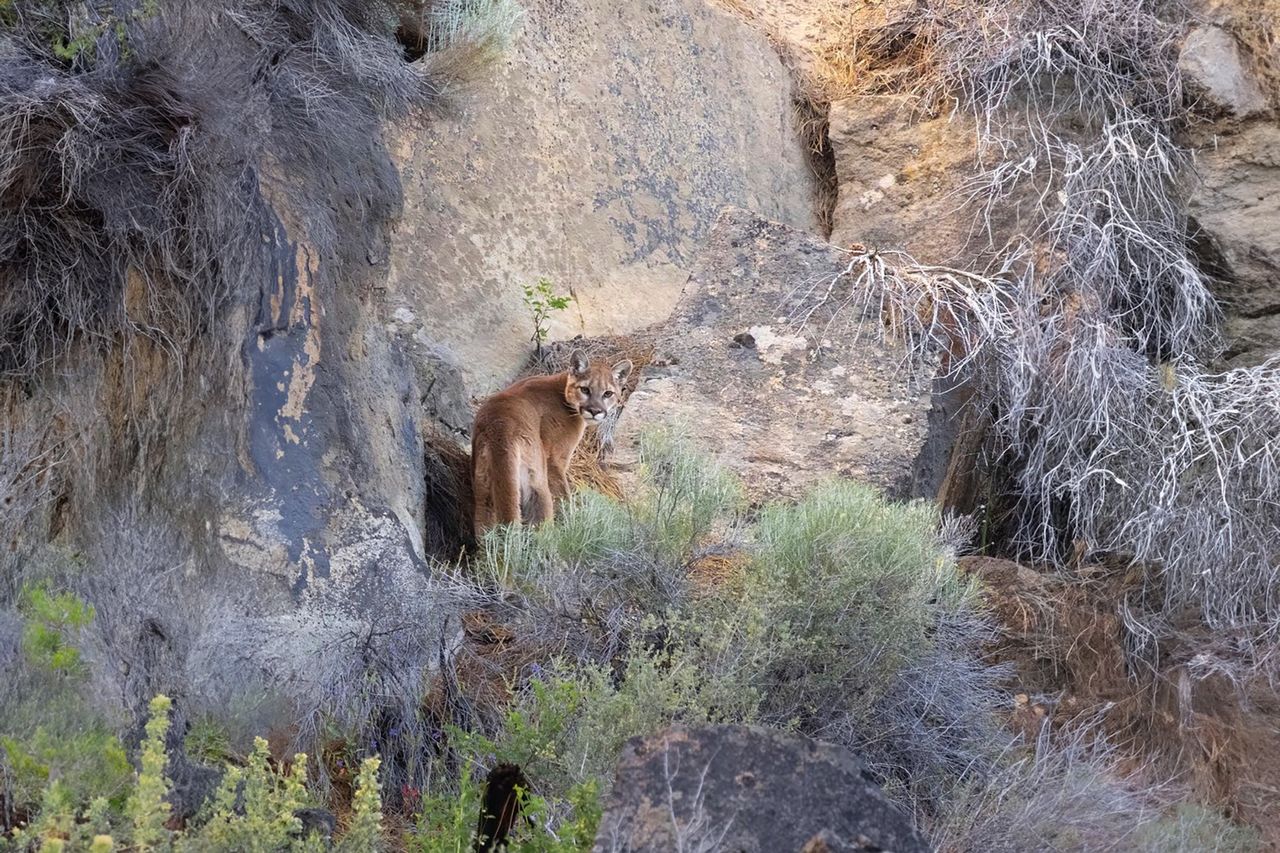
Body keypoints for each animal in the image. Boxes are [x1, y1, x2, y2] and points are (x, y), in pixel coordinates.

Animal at [471, 345, 629, 532]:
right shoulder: (556, 459)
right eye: (585, 389)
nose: (595, 411)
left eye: (608, 393)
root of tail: (499, 425)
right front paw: (571, 522)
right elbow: (563, 497)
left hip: (484, 489)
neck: (562, 391)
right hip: (538, 481)